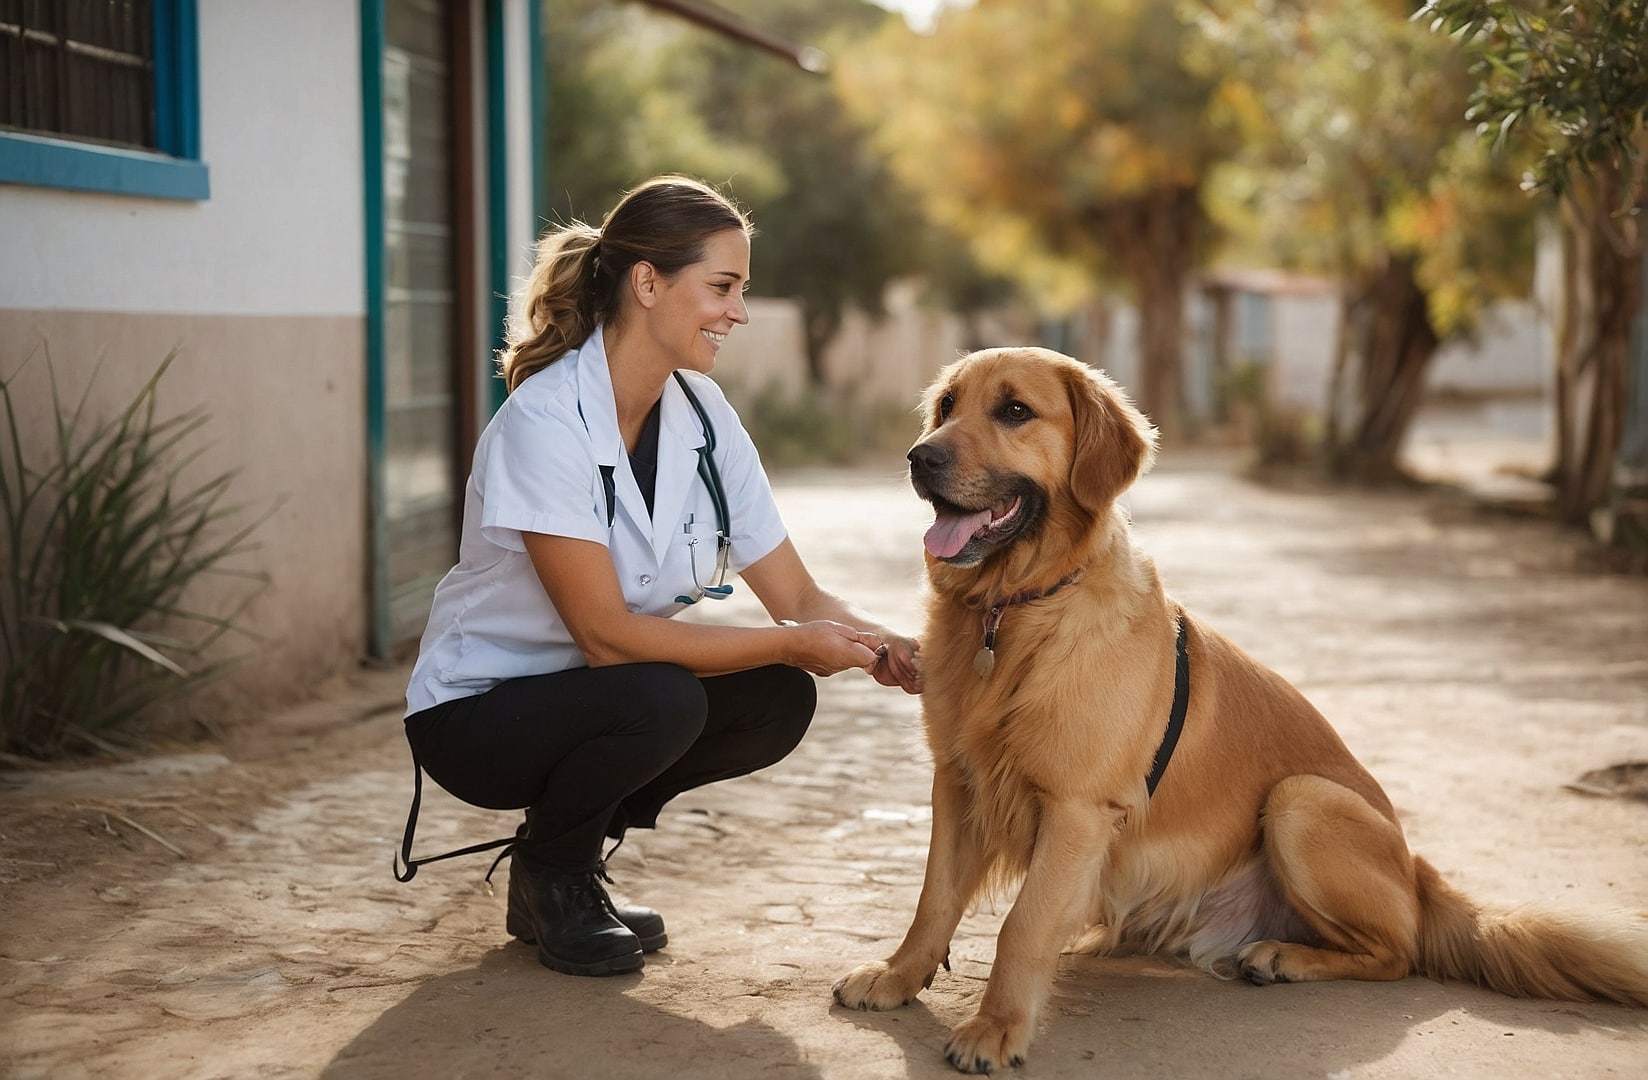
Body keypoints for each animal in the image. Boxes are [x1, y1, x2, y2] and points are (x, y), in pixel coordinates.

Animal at [830, 351, 1648, 1075]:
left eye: (1014, 411)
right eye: (946, 406)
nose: (918, 458)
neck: (1016, 611)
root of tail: (1420, 873)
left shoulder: (1076, 807)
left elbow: (1022, 926)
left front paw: (997, 1029)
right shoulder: (958, 781)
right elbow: (934, 898)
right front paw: (898, 977)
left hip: (1300, 800)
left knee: (1397, 953)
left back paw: (1284, 956)